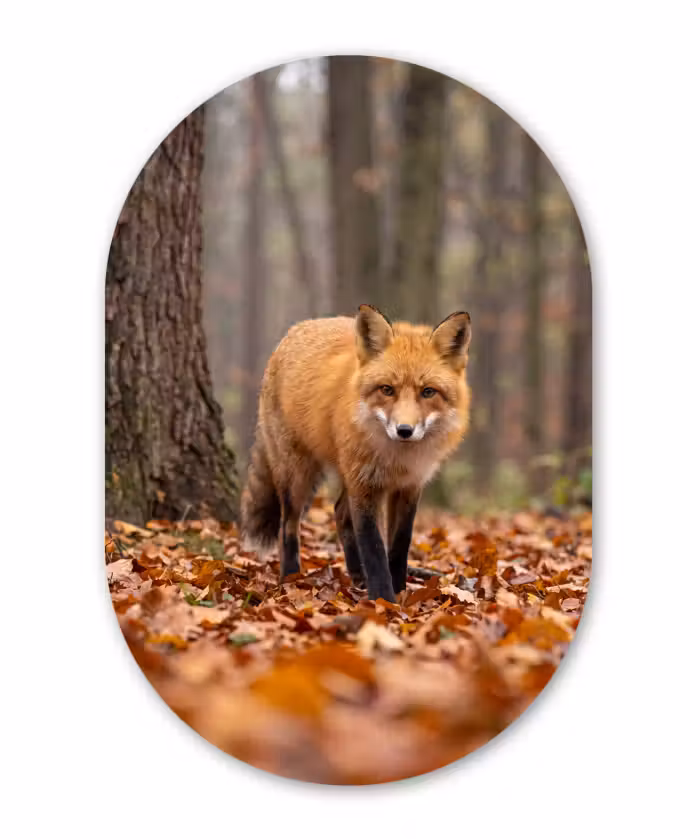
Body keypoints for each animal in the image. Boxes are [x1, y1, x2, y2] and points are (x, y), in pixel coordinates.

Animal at [241, 304, 471, 603]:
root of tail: (295, 330)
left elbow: (399, 544)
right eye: (387, 390)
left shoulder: (408, 487)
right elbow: (374, 548)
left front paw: (399, 590)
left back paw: (356, 575)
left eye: (428, 392)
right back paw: (290, 576)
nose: (404, 430)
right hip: (298, 475)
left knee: (340, 513)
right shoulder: (365, 485)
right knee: (288, 526)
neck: (398, 460)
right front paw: (384, 599)